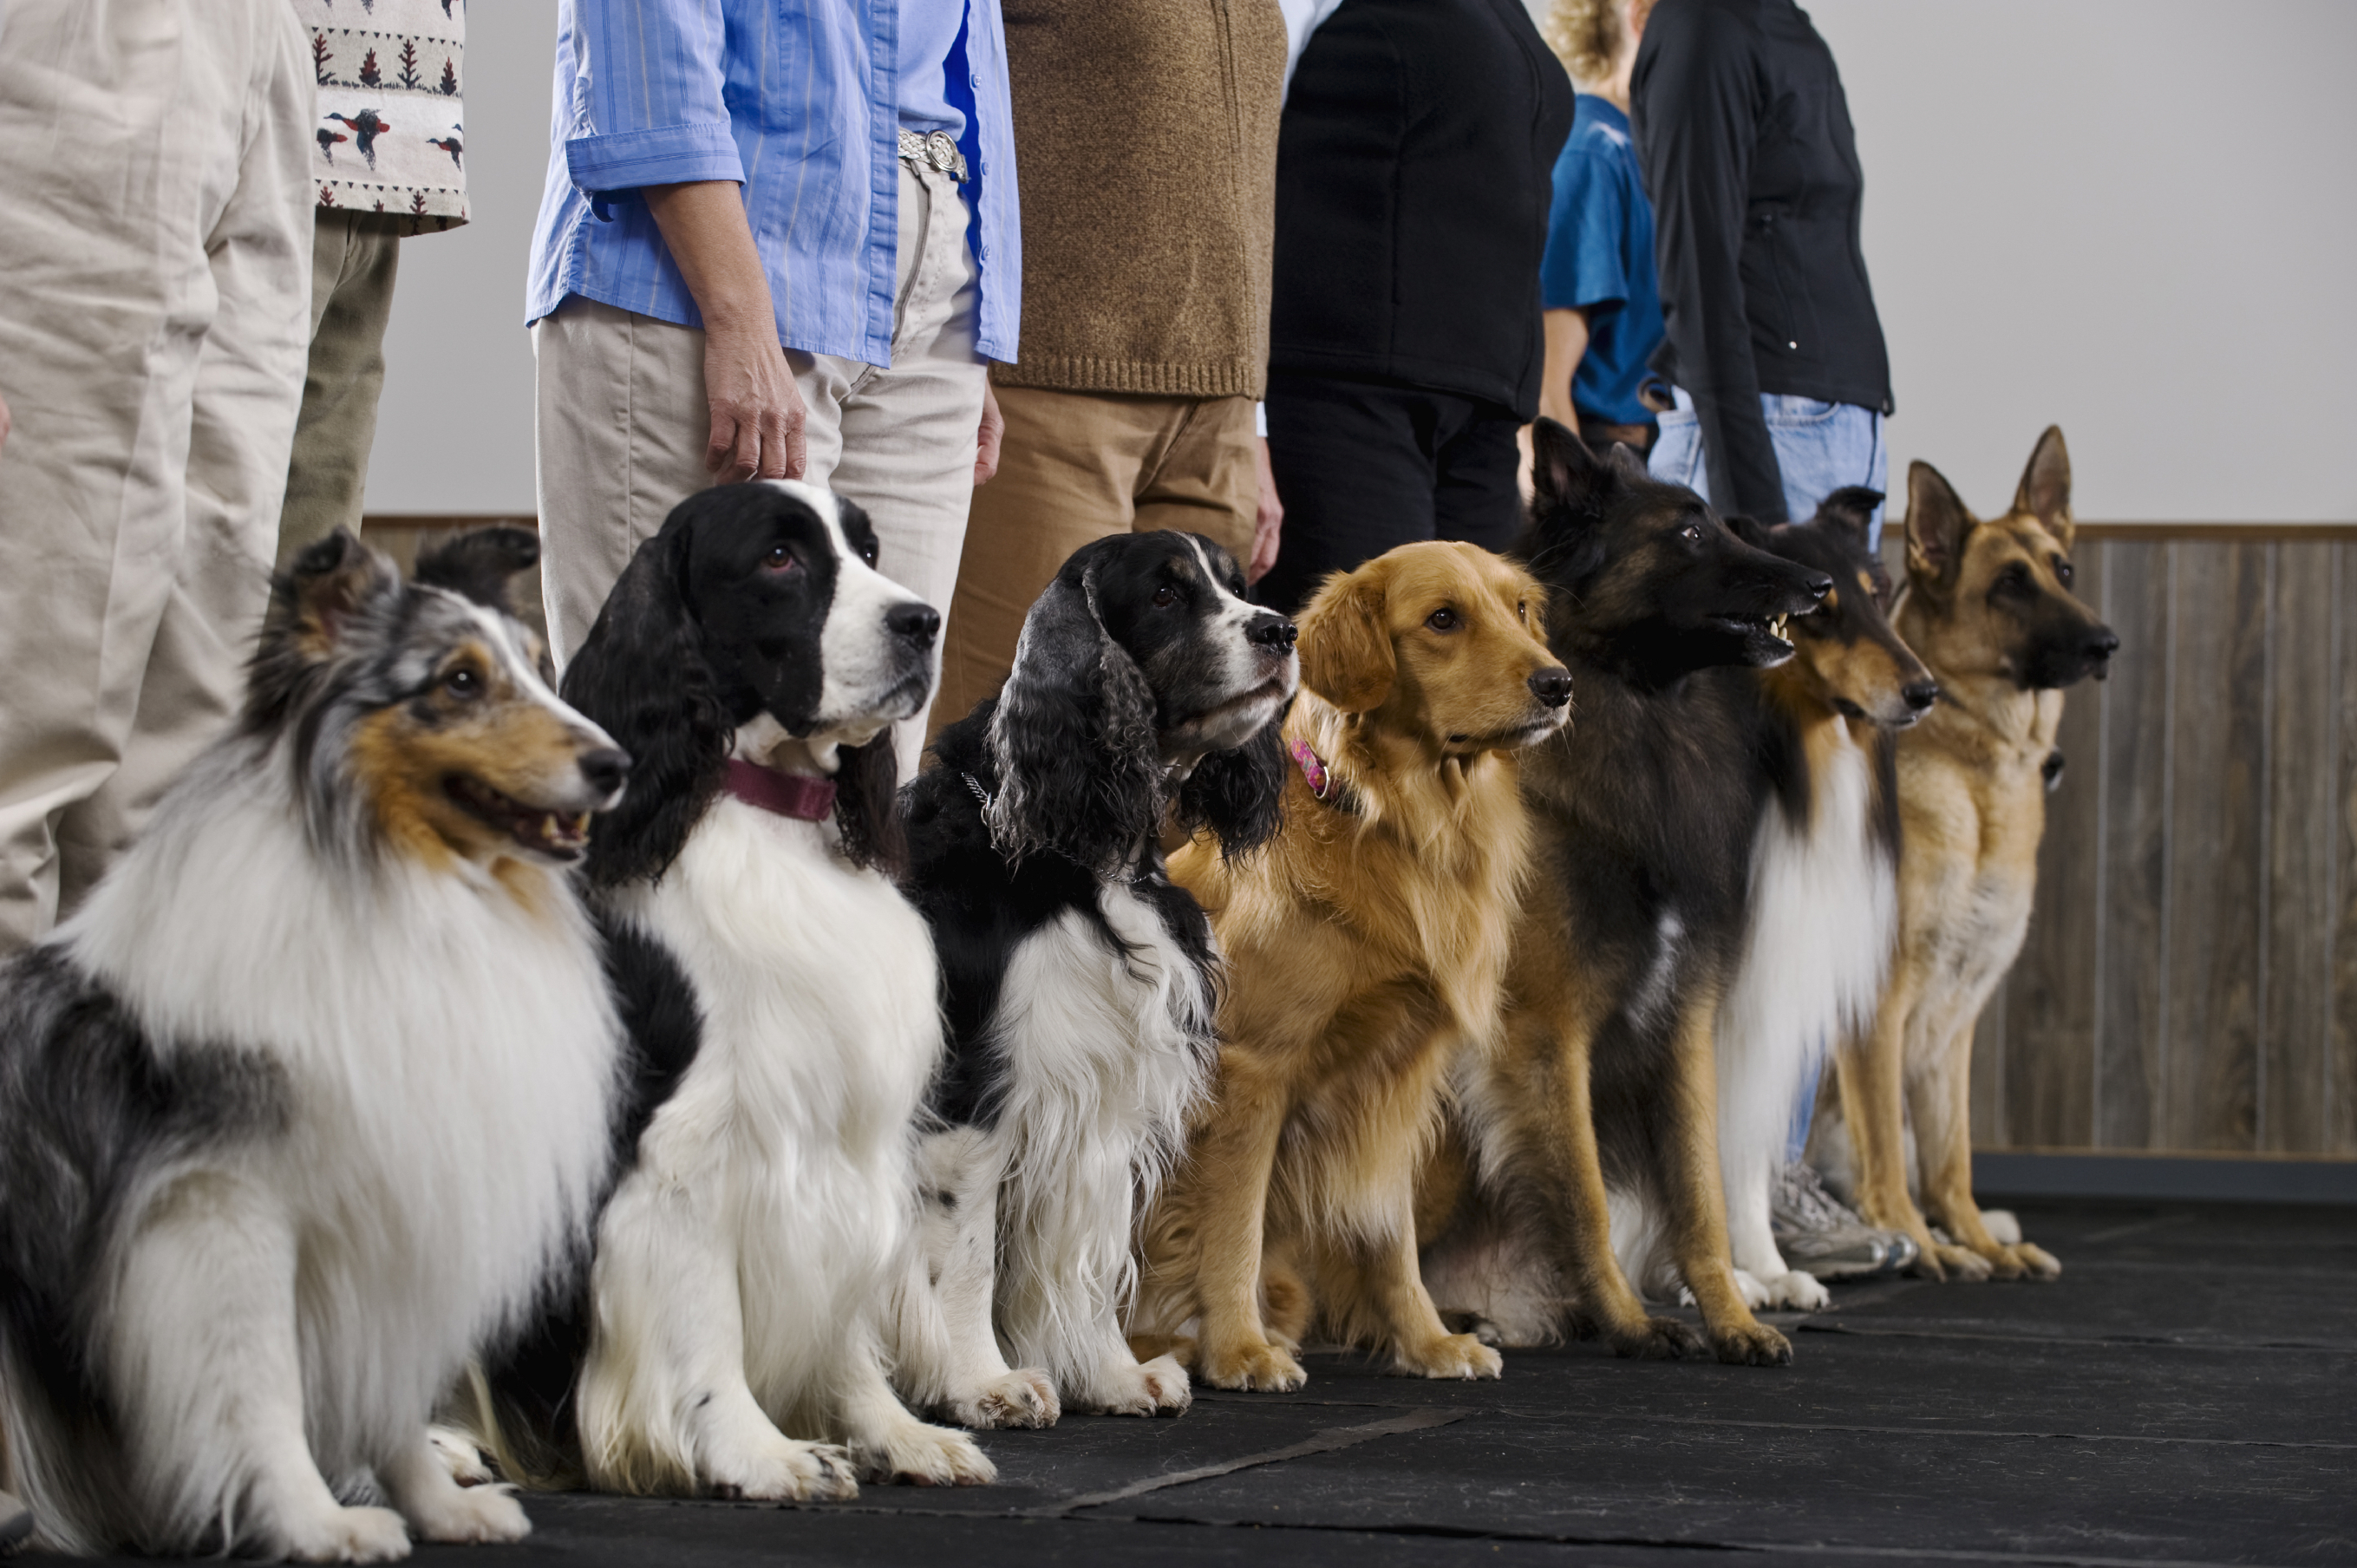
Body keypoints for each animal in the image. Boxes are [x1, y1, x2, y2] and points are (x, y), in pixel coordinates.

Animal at [1414, 421, 1819, 1367]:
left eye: (1726, 522)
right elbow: (1587, 1193)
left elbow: (1701, 1195)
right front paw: (1632, 1322)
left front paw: (1733, 1320)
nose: (1819, 584)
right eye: (1690, 532)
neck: (1641, 711)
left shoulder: (1684, 1022)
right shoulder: (1545, 1031)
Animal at [1800, 424, 2121, 1273]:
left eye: (2062, 570)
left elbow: (1953, 1153)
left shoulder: (1955, 1020)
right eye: (2009, 585)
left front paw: (1972, 1238)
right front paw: (1920, 1243)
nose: (2105, 642)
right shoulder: (1877, 1008)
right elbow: (1886, 1147)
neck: (1976, 774)